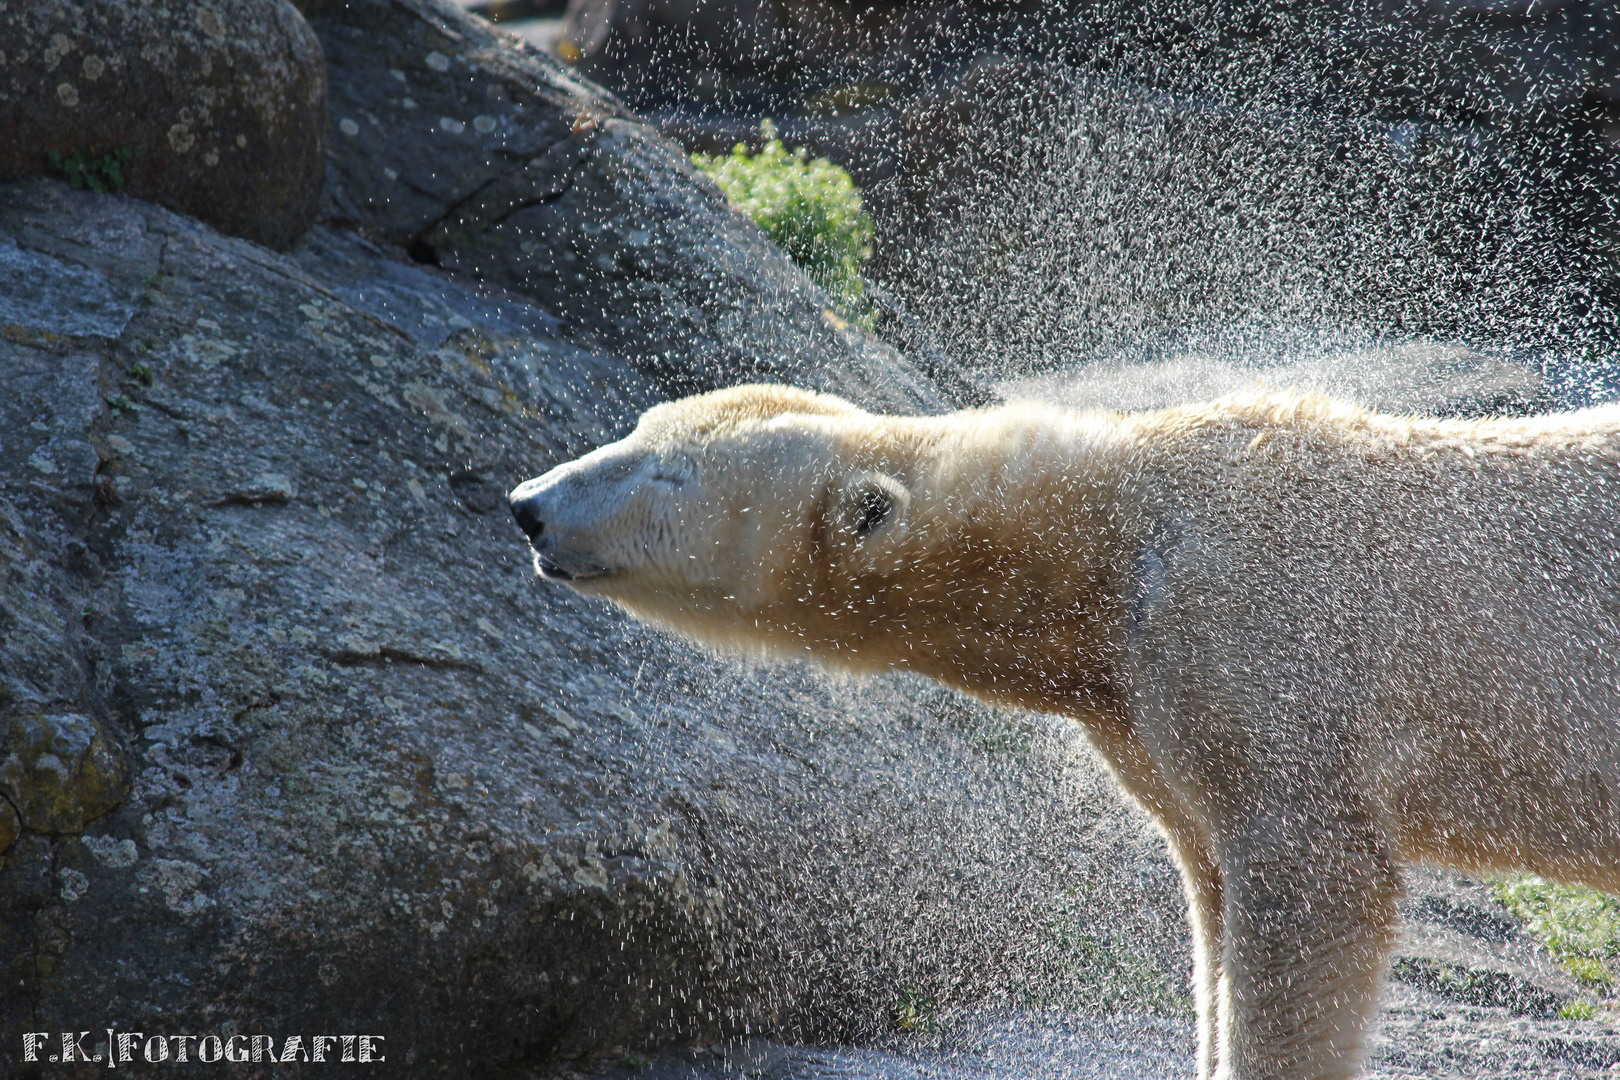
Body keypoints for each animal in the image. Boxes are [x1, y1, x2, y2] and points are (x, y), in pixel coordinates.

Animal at [505, 383, 1620, 1075]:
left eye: (667, 474)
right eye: (638, 425)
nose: (527, 503)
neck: (1111, 540)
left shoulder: (1258, 639)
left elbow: (1314, 883)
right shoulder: (1142, 708)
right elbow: (1207, 889)